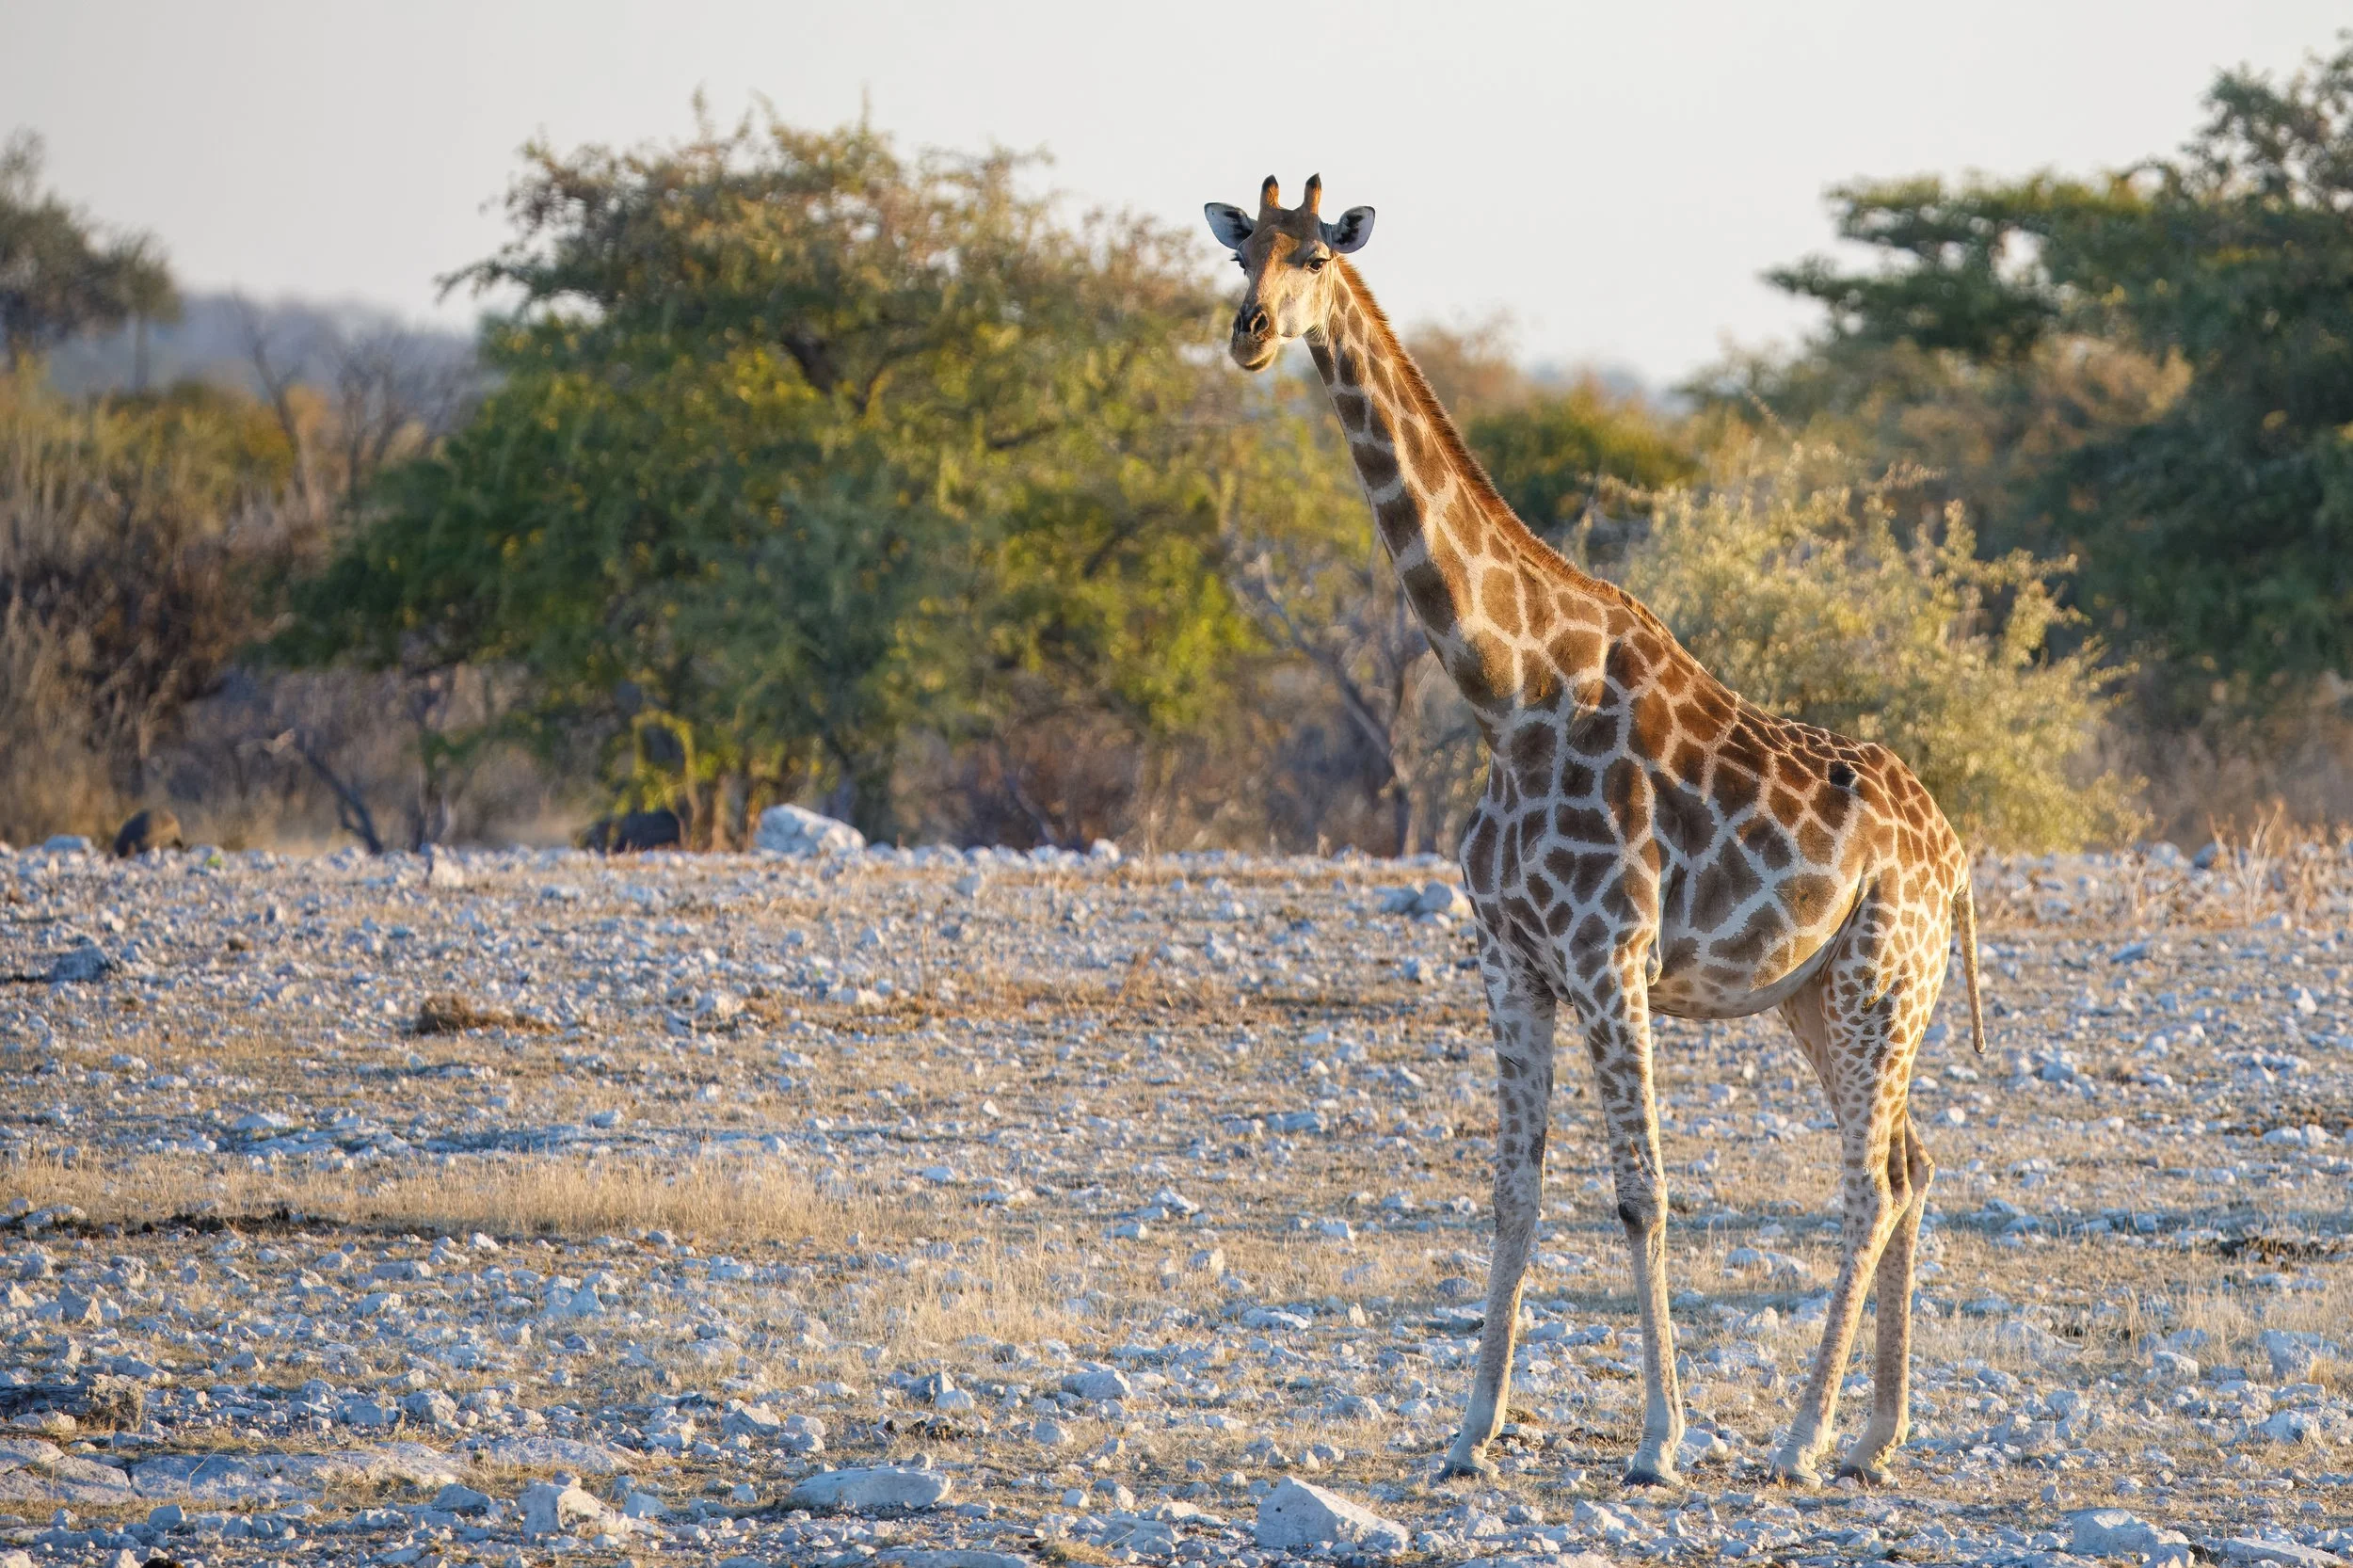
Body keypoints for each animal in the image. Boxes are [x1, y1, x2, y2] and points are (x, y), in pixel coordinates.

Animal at [1204, 175, 1988, 1489]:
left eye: (1314, 253)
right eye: (1237, 250)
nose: (1250, 332)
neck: (1507, 690)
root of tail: (1957, 857)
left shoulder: (1610, 957)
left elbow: (1640, 1193)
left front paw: (1660, 1439)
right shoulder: (1509, 959)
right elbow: (1513, 1192)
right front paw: (1469, 1428)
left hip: (1883, 979)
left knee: (1865, 1185)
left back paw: (1801, 1436)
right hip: (1819, 995)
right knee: (1907, 1164)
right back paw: (1877, 1431)